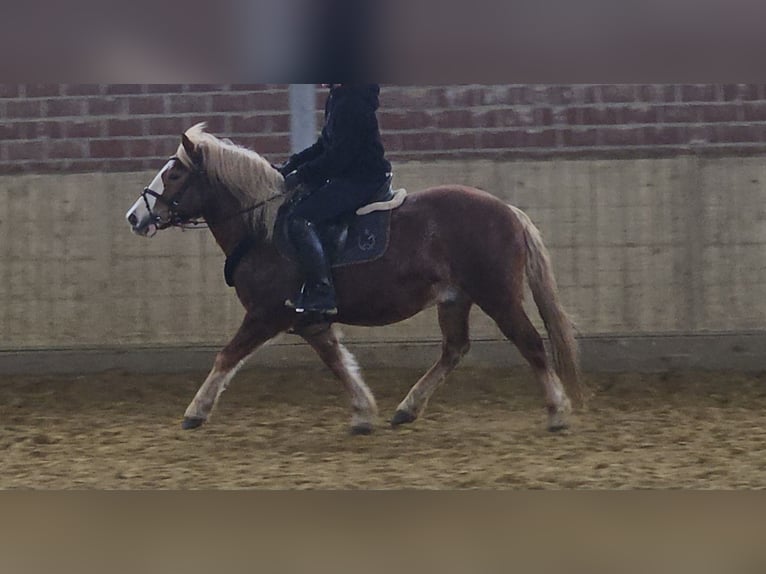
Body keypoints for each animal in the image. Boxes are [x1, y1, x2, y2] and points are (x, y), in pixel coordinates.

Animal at [125, 123, 584, 435]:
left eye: (175, 175)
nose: (135, 217)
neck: (264, 229)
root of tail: (508, 210)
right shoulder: (308, 320)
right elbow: (337, 362)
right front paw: (363, 413)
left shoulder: (265, 315)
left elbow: (226, 356)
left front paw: (195, 411)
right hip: (455, 298)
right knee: (454, 349)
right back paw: (407, 408)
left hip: (497, 295)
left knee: (529, 342)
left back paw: (558, 411)